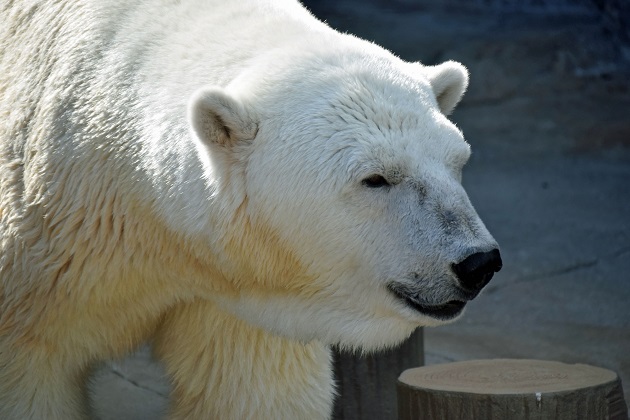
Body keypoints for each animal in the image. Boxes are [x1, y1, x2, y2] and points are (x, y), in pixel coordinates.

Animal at [0, 0, 504, 420]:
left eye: (457, 161)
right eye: (375, 178)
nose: (478, 263)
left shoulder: (242, 293)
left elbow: (250, 391)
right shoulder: (40, 269)